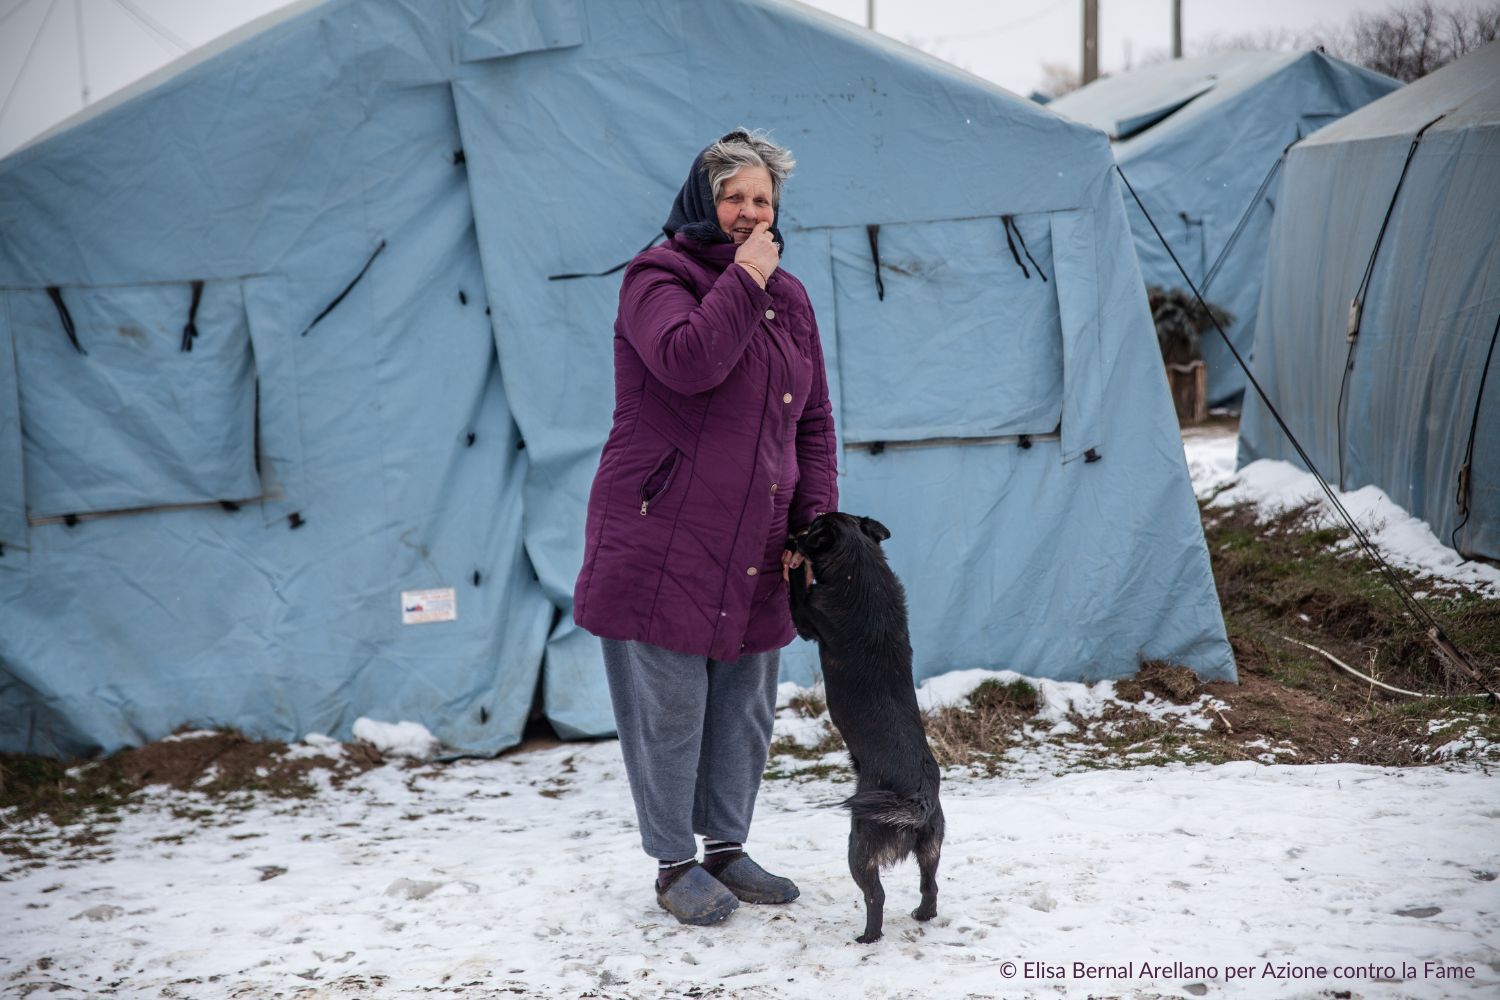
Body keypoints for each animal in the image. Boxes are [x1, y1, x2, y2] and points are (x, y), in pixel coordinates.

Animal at [780, 512, 942, 941]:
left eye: (810, 529)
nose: (792, 531)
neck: (860, 566)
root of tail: (918, 798)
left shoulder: (806, 617)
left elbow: (796, 591)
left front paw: (793, 565)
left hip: (860, 847)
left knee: (876, 896)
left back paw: (868, 937)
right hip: (931, 849)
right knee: (930, 885)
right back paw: (923, 914)